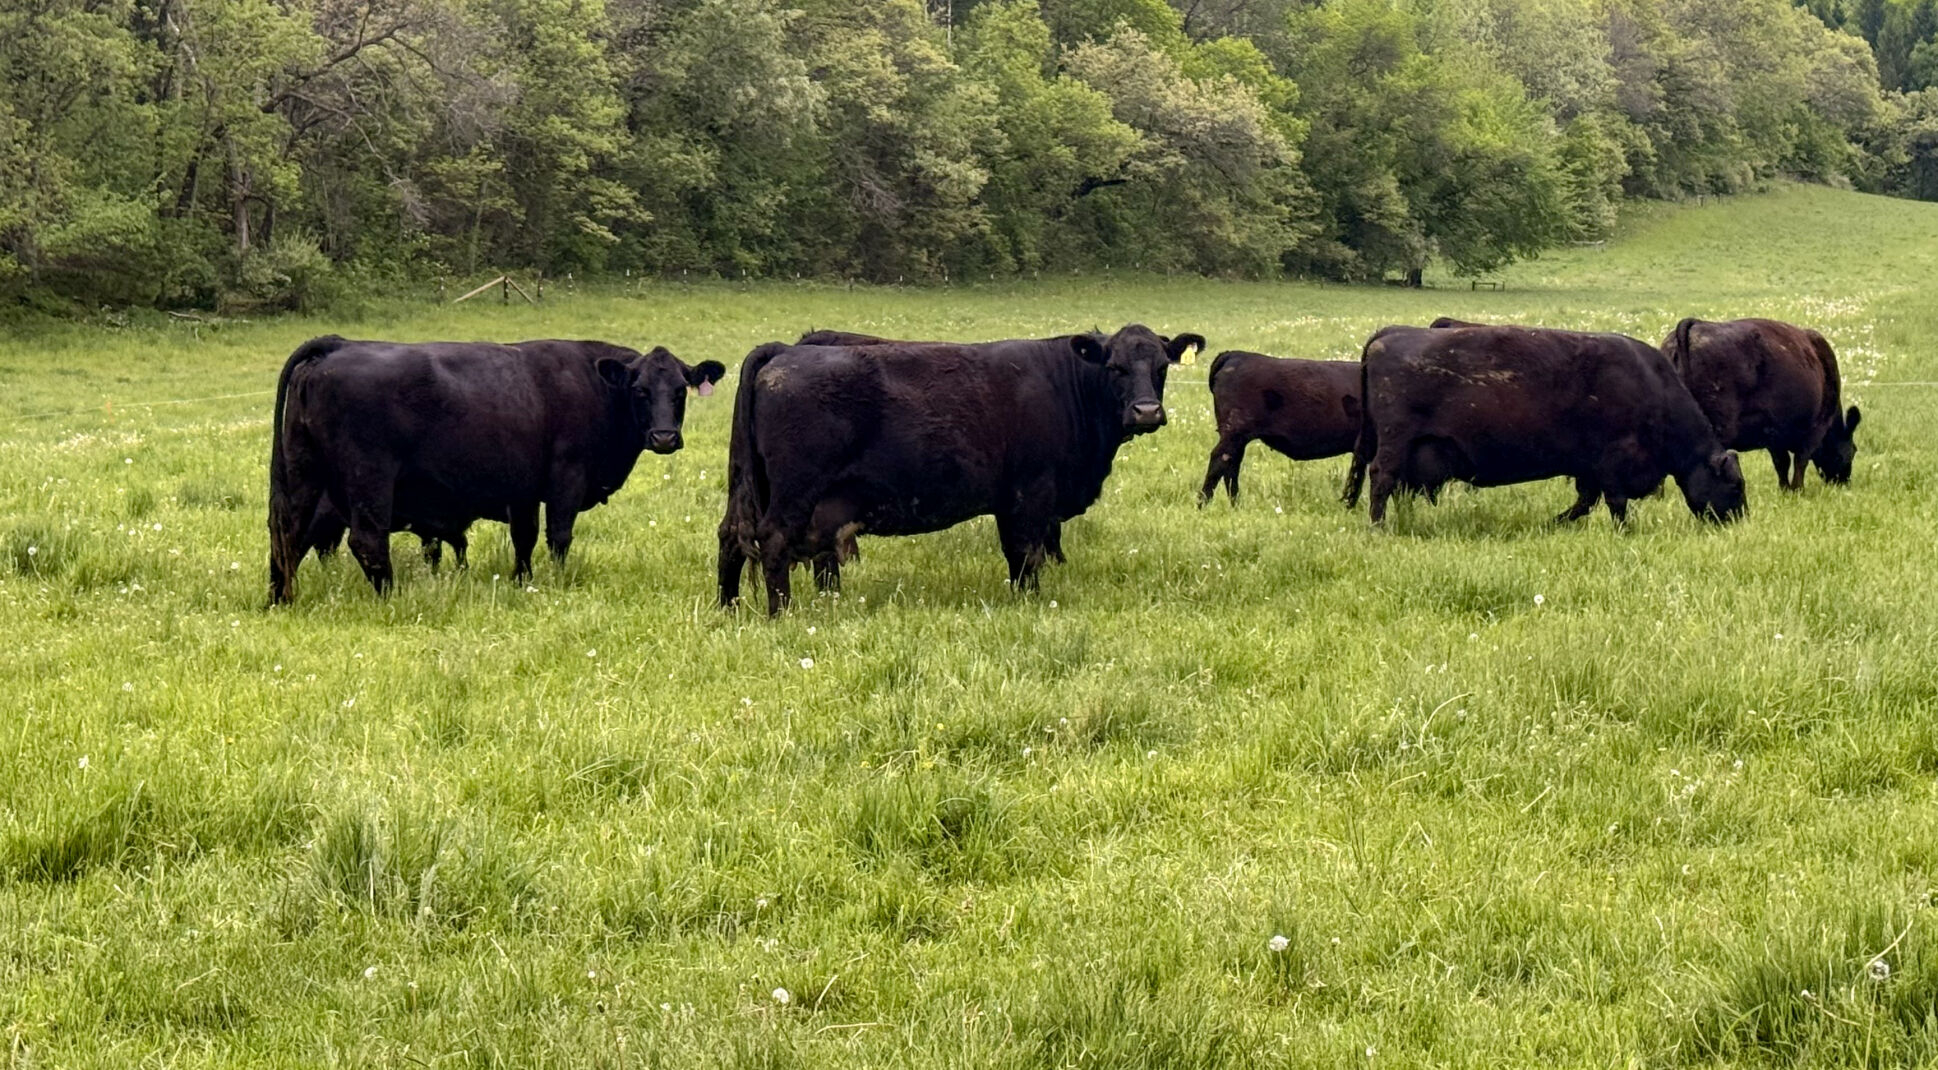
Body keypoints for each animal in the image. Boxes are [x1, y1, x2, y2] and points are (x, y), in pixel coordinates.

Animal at [267, 335, 725, 604]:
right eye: (640, 390)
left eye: (680, 390)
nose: (664, 437)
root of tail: (338, 345)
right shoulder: (567, 477)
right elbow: (559, 536)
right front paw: (557, 581)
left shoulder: (521, 490)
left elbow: (524, 539)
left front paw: (524, 580)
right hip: (368, 479)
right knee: (365, 541)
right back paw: (391, 598)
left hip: (303, 472)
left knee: (287, 533)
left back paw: (281, 597)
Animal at [718, 324, 1206, 614]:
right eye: (1115, 366)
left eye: (1162, 367)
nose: (1147, 412)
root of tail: (784, 351)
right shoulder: (1028, 494)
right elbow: (1026, 556)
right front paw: (1029, 604)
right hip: (794, 492)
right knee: (773, 541)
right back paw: (781, 614)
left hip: (756, 486)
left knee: (731, 536)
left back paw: (727, 607)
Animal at [1198, 351, 1361, 507]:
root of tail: (1235, 354)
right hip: (1234, 431)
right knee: (1219, 460)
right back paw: (1202, 505)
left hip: (1237, 438)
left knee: (1231, 466)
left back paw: (1236, 506)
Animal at [1342, 325, 1747, 526]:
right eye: (1736, 485)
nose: (1739, 520)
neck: (1652, 388)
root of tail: (1385, 338)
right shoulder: (1612, 464)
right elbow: (1613, 503)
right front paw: (1623, 530)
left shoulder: (1589, 469)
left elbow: (1585, 502)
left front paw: (1554, 522)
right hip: (1395, 443)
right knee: (1381, 479)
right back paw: (1379, 527)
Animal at [1661, 317, 1861, 489]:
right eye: (1853, 450)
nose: (1844, 483)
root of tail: (1696, 324)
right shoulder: (1815, 429)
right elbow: (1800, 461)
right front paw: (1798, 490)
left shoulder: (1773, 433)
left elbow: (1781, 463)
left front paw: (1785, 490)